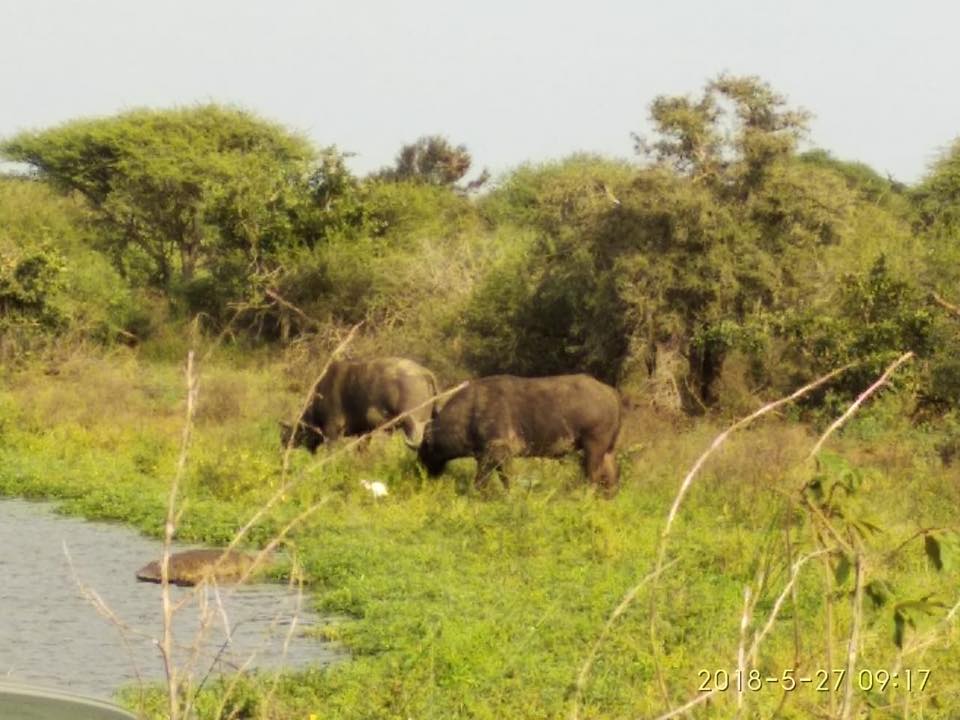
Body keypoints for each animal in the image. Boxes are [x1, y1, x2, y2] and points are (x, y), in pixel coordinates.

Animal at [282, 358, 438, 452]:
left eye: (294, 433)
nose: (284, 445)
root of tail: (424, 372)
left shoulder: (331, 432)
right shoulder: (364, 433)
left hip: (413, 425)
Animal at [418, 374, 624, 492]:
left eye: (424, 450)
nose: (421, 472)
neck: (472, 411)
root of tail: (611, 392)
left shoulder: (498, 453)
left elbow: (497, 480)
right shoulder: (485, 457)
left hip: (594, 447)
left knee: (593, 477)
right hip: (608, 450)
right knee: (611, 477)